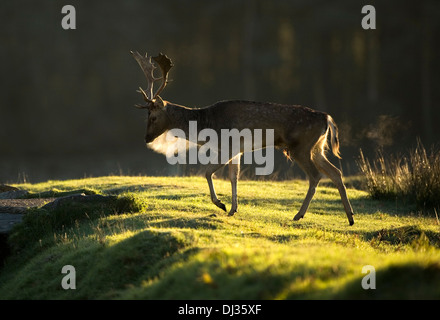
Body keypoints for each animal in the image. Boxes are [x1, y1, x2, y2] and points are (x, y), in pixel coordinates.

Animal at [130, 50, 354, 225]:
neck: (206, 122)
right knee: (336, 172)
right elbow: (234, 176)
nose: (146, 138)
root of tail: (327, 118)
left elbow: (208, 173)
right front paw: (233, 208)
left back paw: (299, 215)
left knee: (316, 176)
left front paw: (221, 204)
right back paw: (350, 217)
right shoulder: (236, 149)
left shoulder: (227, 146)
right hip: (317, 147)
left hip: (301, 147)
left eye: (153, 116)